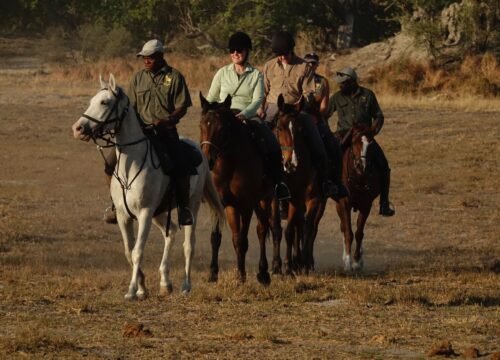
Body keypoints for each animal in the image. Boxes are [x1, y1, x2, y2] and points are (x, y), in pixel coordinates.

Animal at [71, 74, 225, 300]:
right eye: (92, 100)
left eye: (105, 102)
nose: (78, 129)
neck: (131, 164)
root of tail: (200, 151)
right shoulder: (123, 216)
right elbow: (129, 251)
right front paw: (142, 287)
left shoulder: (144, 213)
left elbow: (137, 251)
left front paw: (132, 290)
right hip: (159, 212)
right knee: (171, 232)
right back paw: (165, 282)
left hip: (191, 206)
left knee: (189, 245)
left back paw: (186, 286)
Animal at [199, 94, 278, 286]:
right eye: (202, 125)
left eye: (221, 128)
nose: (208, 160)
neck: (229, 165)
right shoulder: (219, 204)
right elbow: (217, 238)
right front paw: (213, 273)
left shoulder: (246, 205)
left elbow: (243, 240)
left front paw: (241, 276)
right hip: (236, 206)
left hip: (264, 199)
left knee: (261, 230)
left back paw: (263, 273)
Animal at [274, 94, 324, 274]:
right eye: (280, 127)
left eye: (301, 130)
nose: (292, 163)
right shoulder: (276, 199)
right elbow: (279, 230)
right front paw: (278, 265)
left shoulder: (303, 198)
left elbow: (296, 229)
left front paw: (294, 264)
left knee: (304, 227)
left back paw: (302, 261)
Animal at [334, 124, 380, 270]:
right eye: (354, 142)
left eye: (371, 144)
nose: (362, 166)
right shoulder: (344, 202)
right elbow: (348, 231)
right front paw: (348, 261)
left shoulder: (367, 204)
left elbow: (359, 232)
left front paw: (357, 260)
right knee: (343, 227)